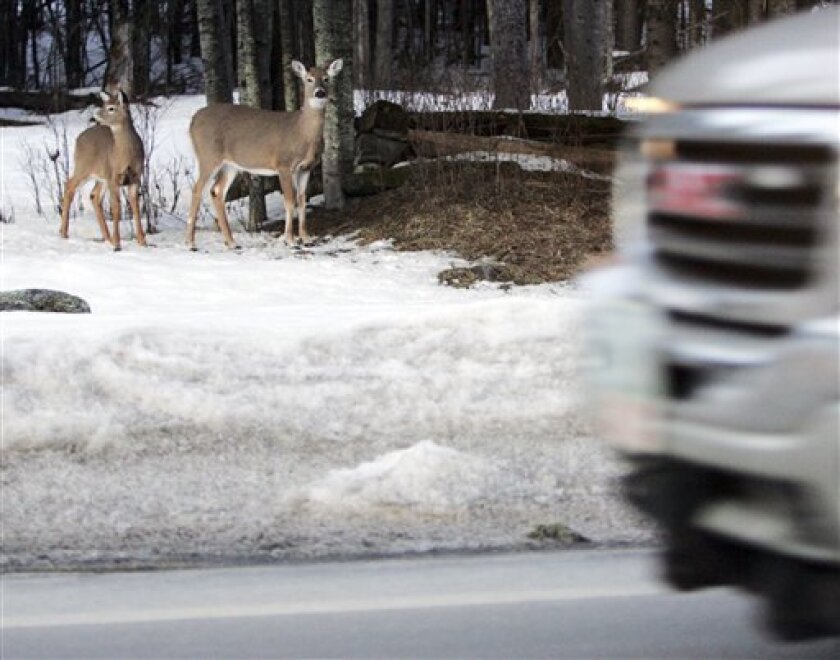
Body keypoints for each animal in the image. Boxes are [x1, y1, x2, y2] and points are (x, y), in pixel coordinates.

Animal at [61, 89, 148, 251]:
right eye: (103, 104)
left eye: (111, 108)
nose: (93, 117)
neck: (126, 155)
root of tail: (78, 138)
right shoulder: (114, 177)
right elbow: (116, 208)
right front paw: (118, 245)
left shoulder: (135, 178)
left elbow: (136, 208)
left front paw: (143, 242)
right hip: (83, 167)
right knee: (69, 185)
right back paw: (63, 233)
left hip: (101, 176)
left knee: (94, 195)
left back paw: (108, 238)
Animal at [185, 58, 342, 250]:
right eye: (309, 79)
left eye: (326, 78)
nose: (320, 93)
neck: (302, 133)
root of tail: (193, 121)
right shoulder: (283, 164)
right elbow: (289, 201)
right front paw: (290, 240)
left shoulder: (306, 168)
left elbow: (302, 201)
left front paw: (306, 238)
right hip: (208, 155)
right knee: (197, 189)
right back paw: (190, 242)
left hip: (230, 164)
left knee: (217, 191)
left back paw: (231, 242)